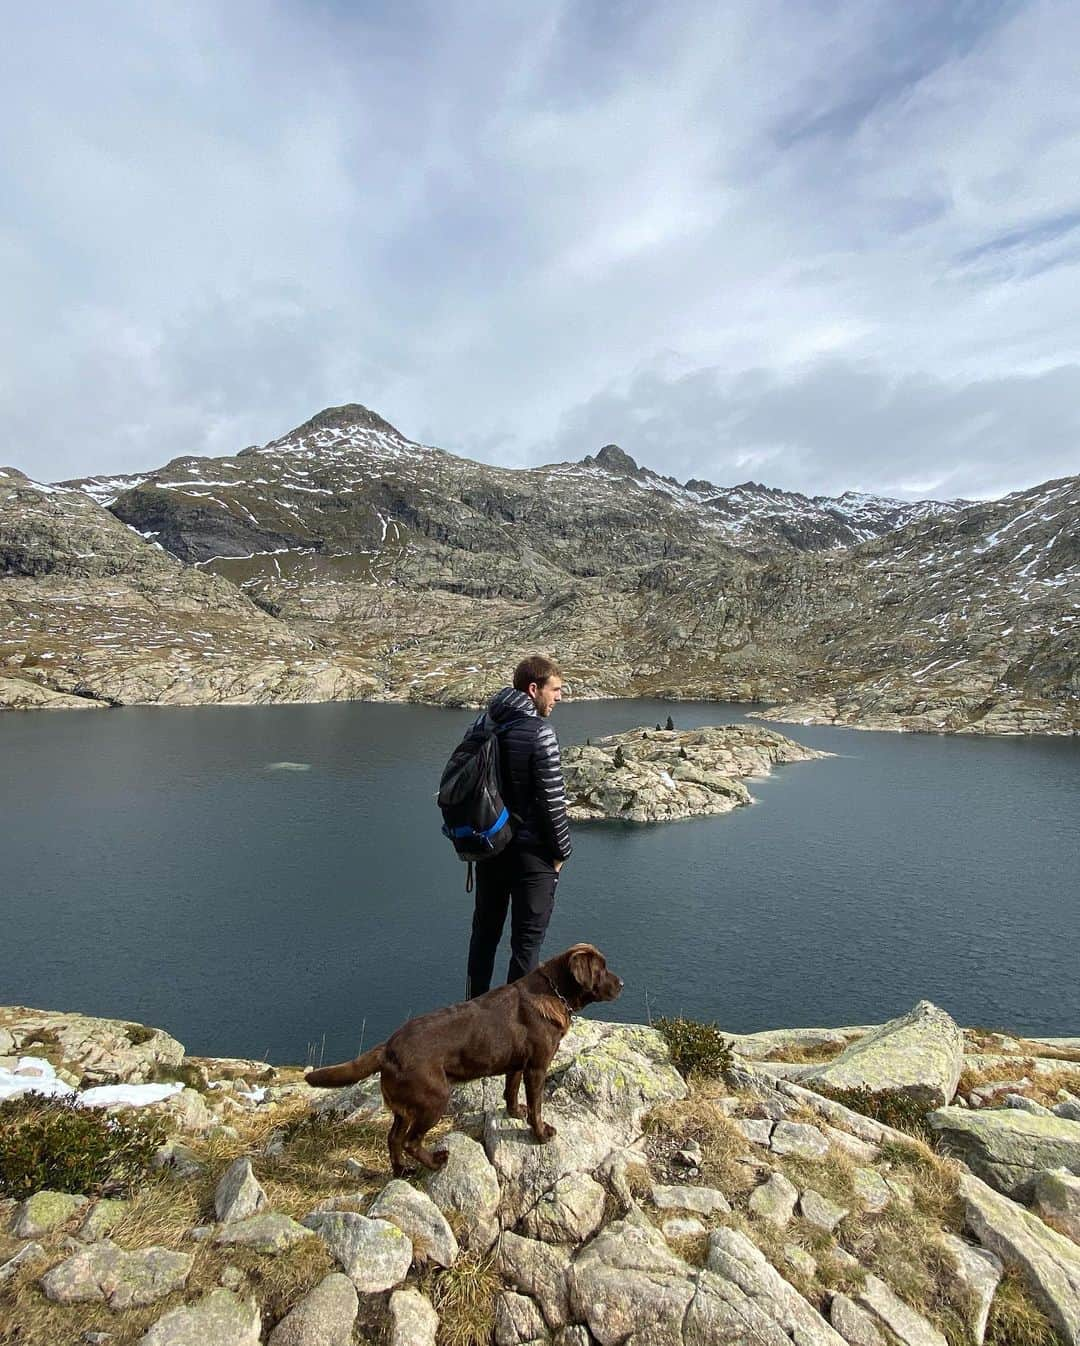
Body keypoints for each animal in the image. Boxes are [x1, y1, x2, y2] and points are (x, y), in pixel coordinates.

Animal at [302, 942, 622, 1173]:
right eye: (602, 968)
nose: (622, 983)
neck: (554, 992)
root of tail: (388, 1047)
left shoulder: (518, 1065)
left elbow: (510, 1091)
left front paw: (515, 1112)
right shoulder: (537, 1068)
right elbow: (537, 1107)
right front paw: (541, 1134)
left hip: (405, 1107)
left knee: (394, 1139)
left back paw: (402, 1170)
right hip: (434, 1100)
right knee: (410, 1141)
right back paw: (436, 1162)